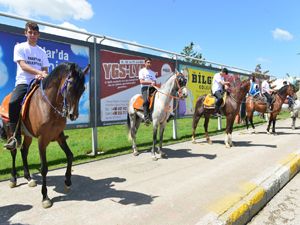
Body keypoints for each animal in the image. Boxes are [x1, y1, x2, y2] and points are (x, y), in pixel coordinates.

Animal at [1, 62, 90, 207]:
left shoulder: (59, 136)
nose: (73, 115)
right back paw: (13, 179)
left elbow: (70, 156)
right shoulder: (42, 140)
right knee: (14, 152)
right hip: (10, 133)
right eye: (70, 86)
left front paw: (67, 181)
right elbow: (44, 168)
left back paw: (29, 178)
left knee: (24, 151)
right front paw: (45, 197)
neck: (48, 105)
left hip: (28, 135)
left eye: (83, 89)